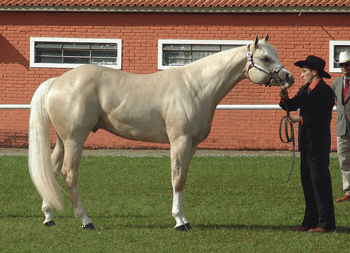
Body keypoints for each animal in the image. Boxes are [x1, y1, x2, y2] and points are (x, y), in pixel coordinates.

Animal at [28, 35, 294, 231]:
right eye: (265, 57)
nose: (288, 77)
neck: (196, 86)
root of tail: (58, 81)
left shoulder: (192, 145)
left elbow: (183, 178)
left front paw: (184, 219)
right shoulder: (179, 141)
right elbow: (176, 179)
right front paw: (179, 221)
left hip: (62, 140)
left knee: (52, 170)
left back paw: (48, 216)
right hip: (75, 139)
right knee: (69, 174)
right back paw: (86, 220)